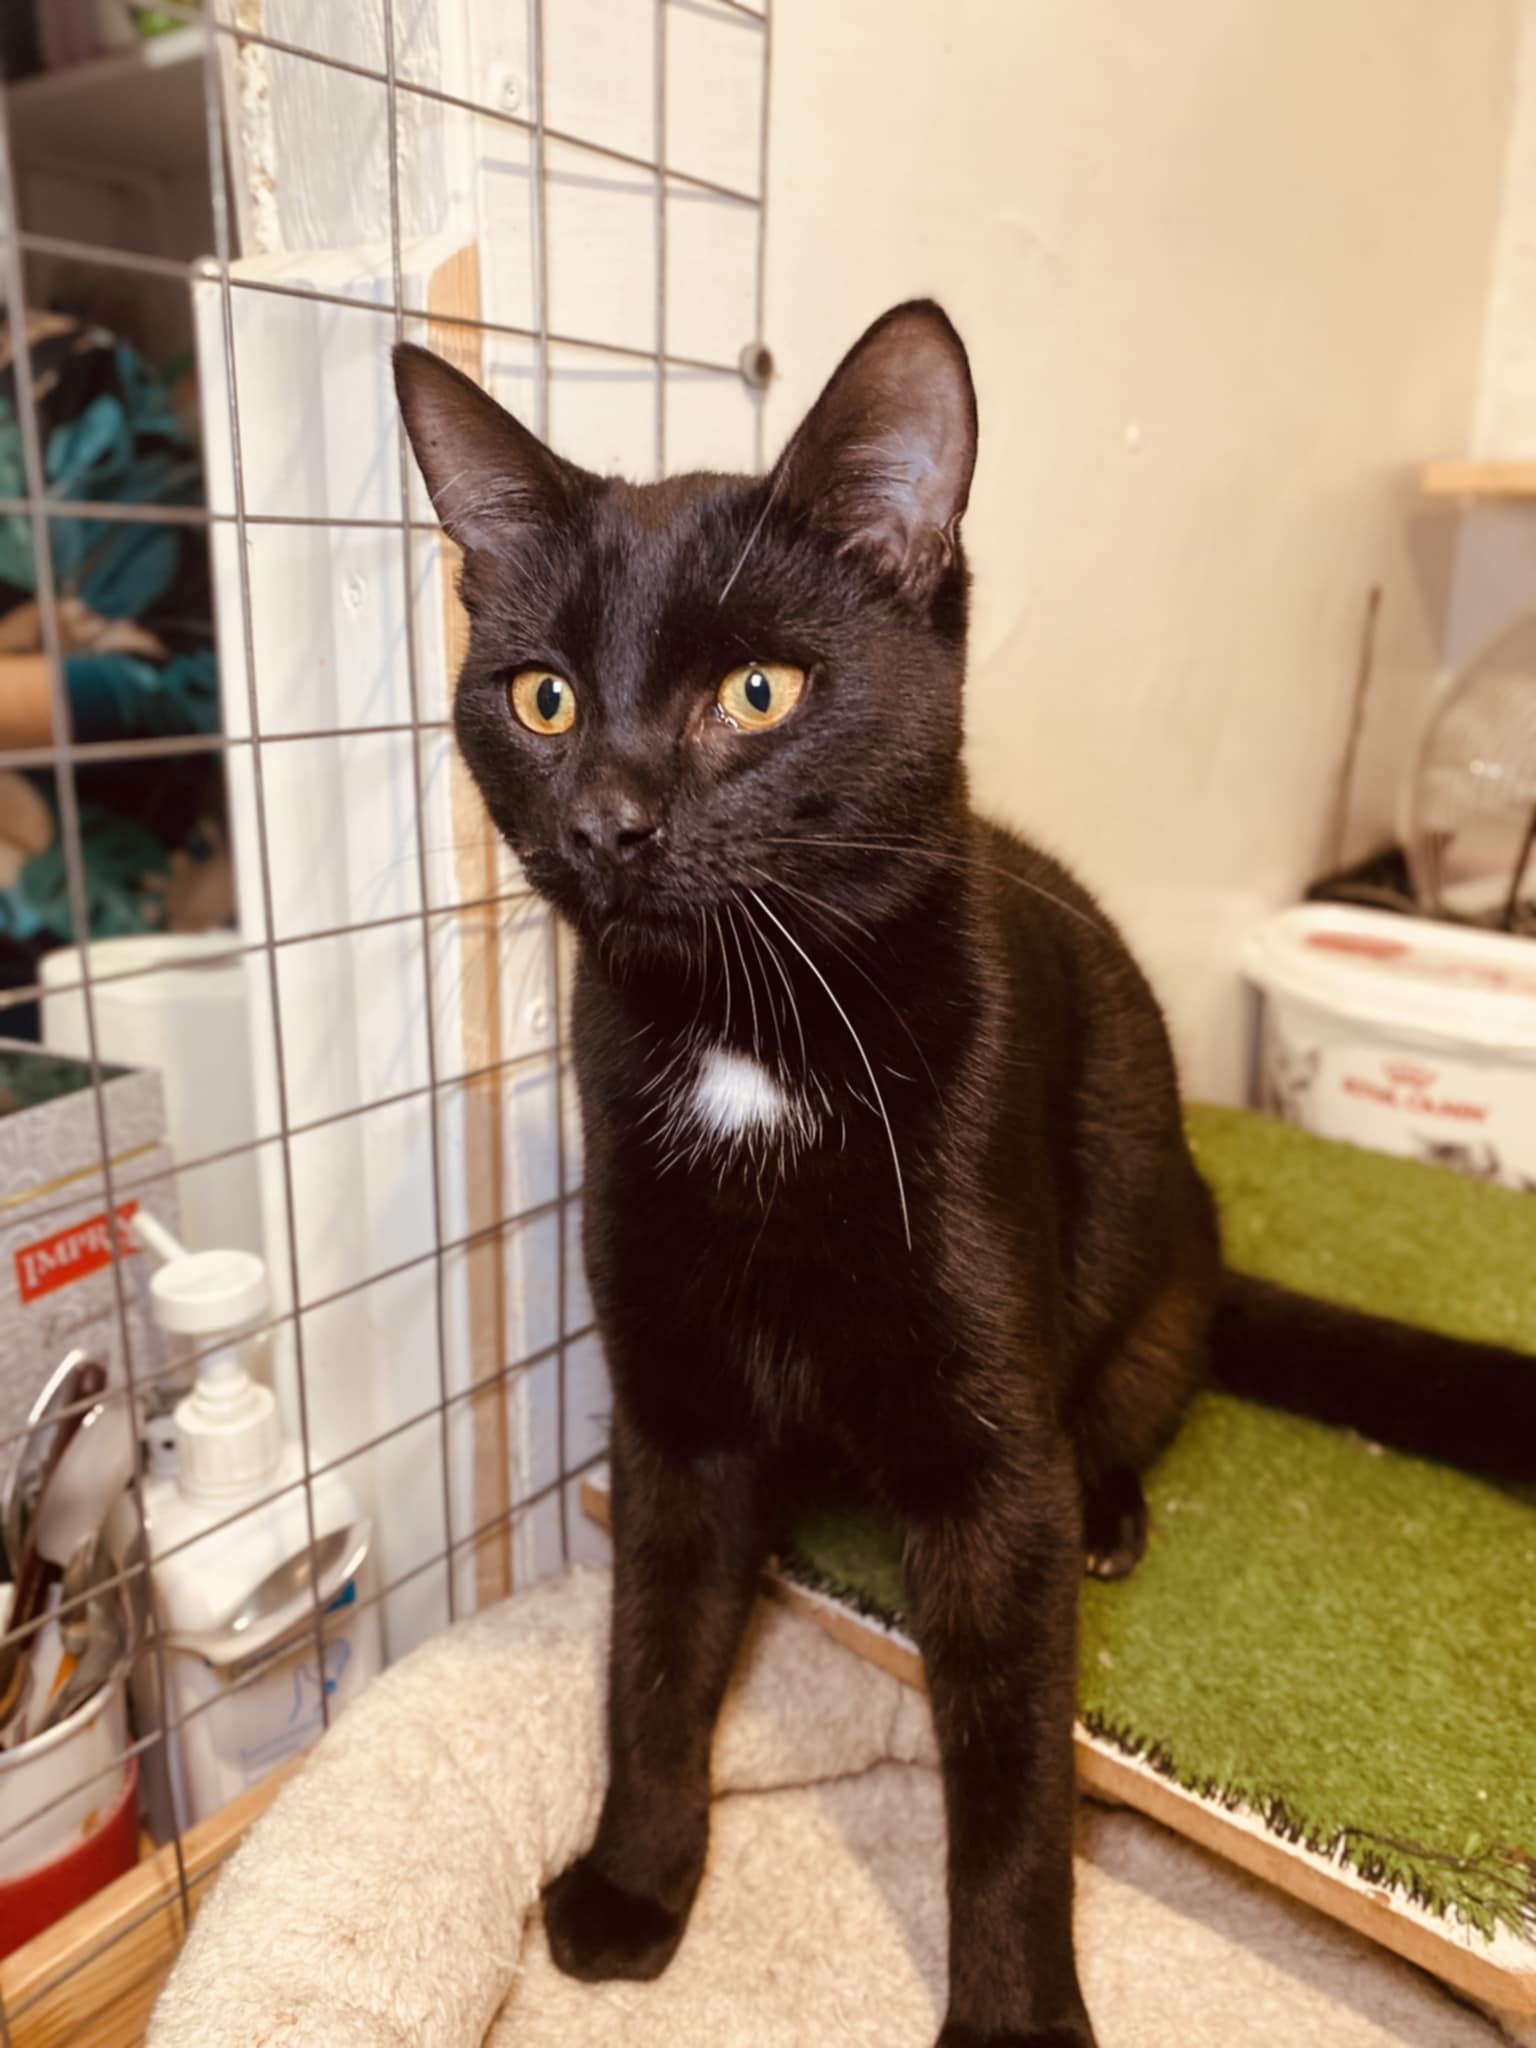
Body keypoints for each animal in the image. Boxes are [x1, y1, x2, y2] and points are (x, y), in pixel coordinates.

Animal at [395, 303, 1536, 2048]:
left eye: (759, 690)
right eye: (542, 699)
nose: (608, 819)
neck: (753, 1033)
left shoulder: (991, 1460)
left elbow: (1007, 1780)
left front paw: (1013, 2014)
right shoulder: (674, 1409)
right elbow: (651, 1660)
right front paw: (635, 1885)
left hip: (1138, 1284)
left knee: (1126, 1411)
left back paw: (1112, 1510)